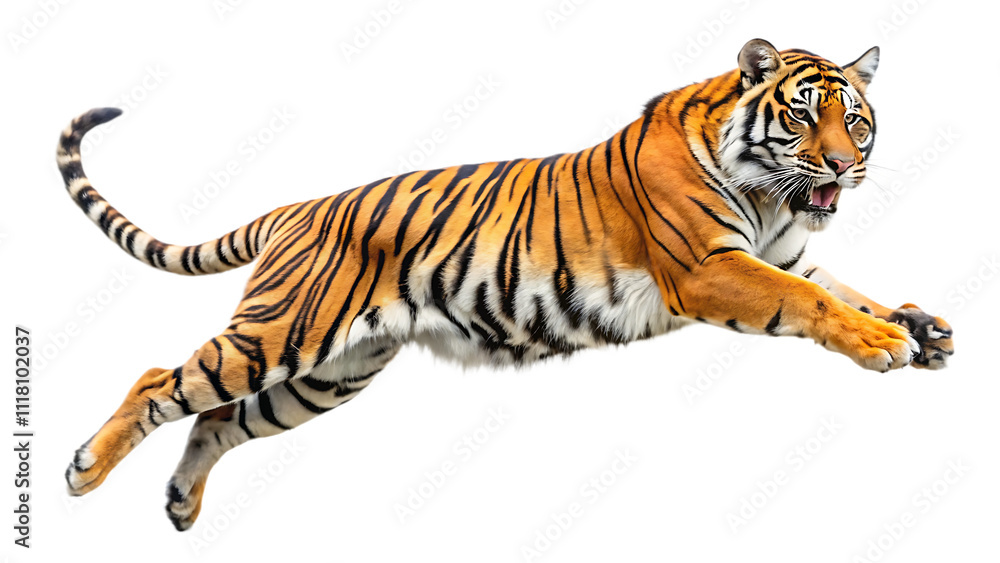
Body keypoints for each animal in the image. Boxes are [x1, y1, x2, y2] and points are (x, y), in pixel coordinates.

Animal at [57, 39, 953, 531]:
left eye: (858, 119)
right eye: (804, 115)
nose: (846, 164)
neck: (771, 196)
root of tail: (296, 207)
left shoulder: (789, 254)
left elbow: (849, 287)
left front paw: (920, 326)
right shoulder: (711, 268)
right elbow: (814, 302)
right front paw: (883, 341)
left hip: (326, 375)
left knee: (216, 419)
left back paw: (180, 504)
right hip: (281, 334)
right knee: (159, 380)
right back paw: (83, 470)